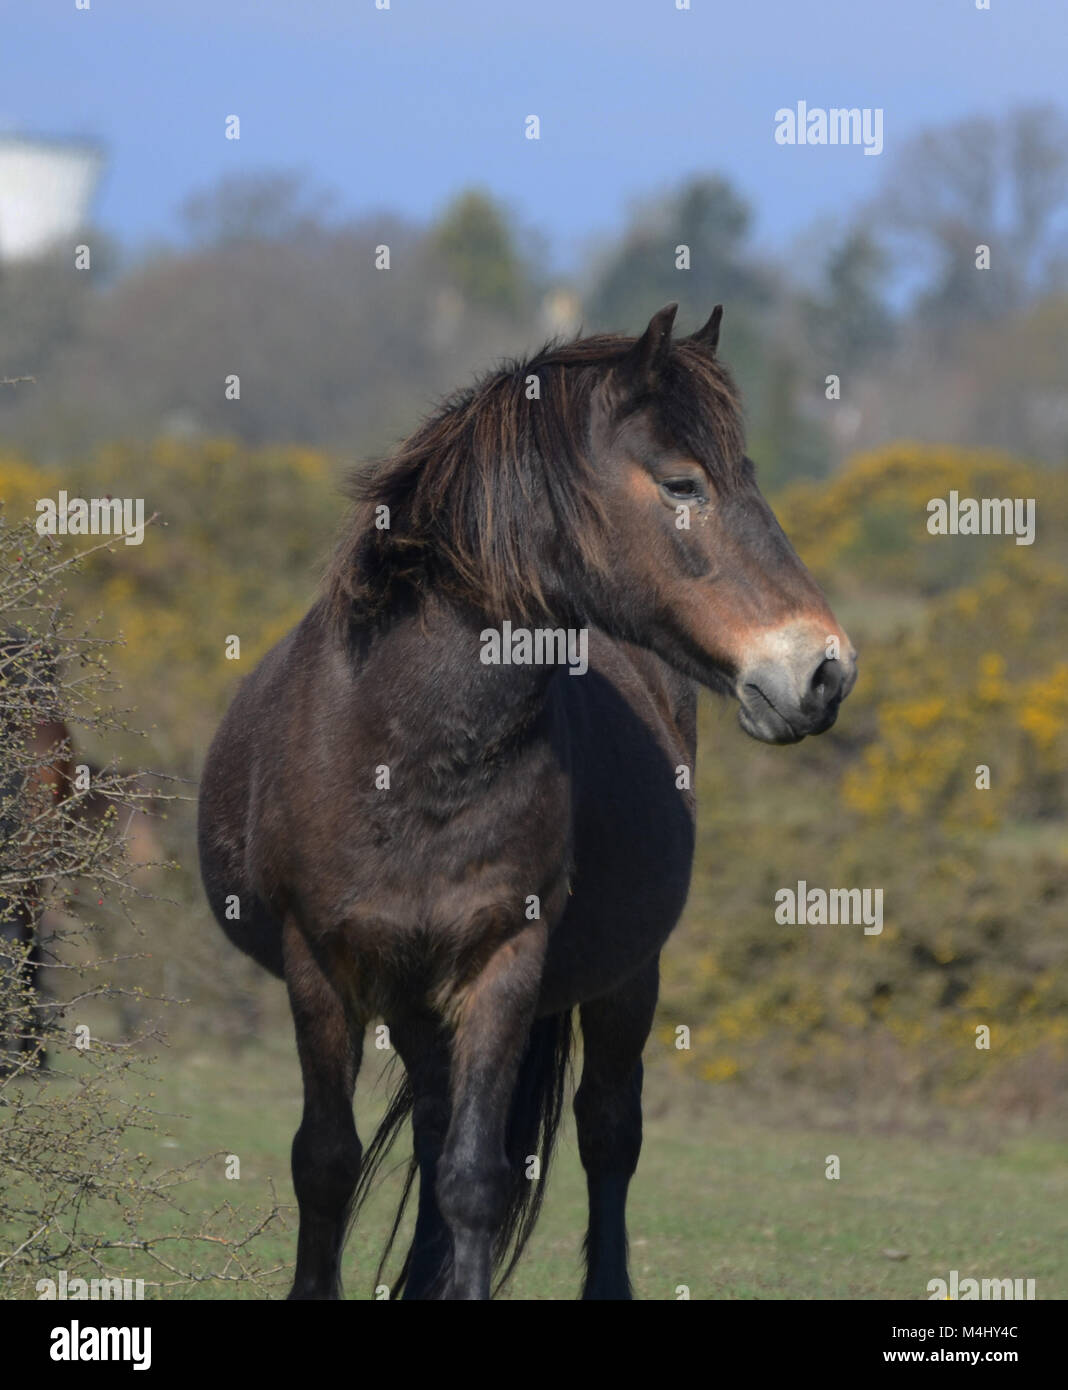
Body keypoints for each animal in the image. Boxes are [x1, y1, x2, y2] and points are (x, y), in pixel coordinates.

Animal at [196, 304, 856, 1301]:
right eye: (682, 483)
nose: (824, 671)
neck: (407, 752)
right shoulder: (321, 964)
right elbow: (328, 1163)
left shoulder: (504, 958)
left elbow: (477, 1177)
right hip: (414, 1003)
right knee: (434, 1128)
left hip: (623, 981)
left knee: (607, 1132)